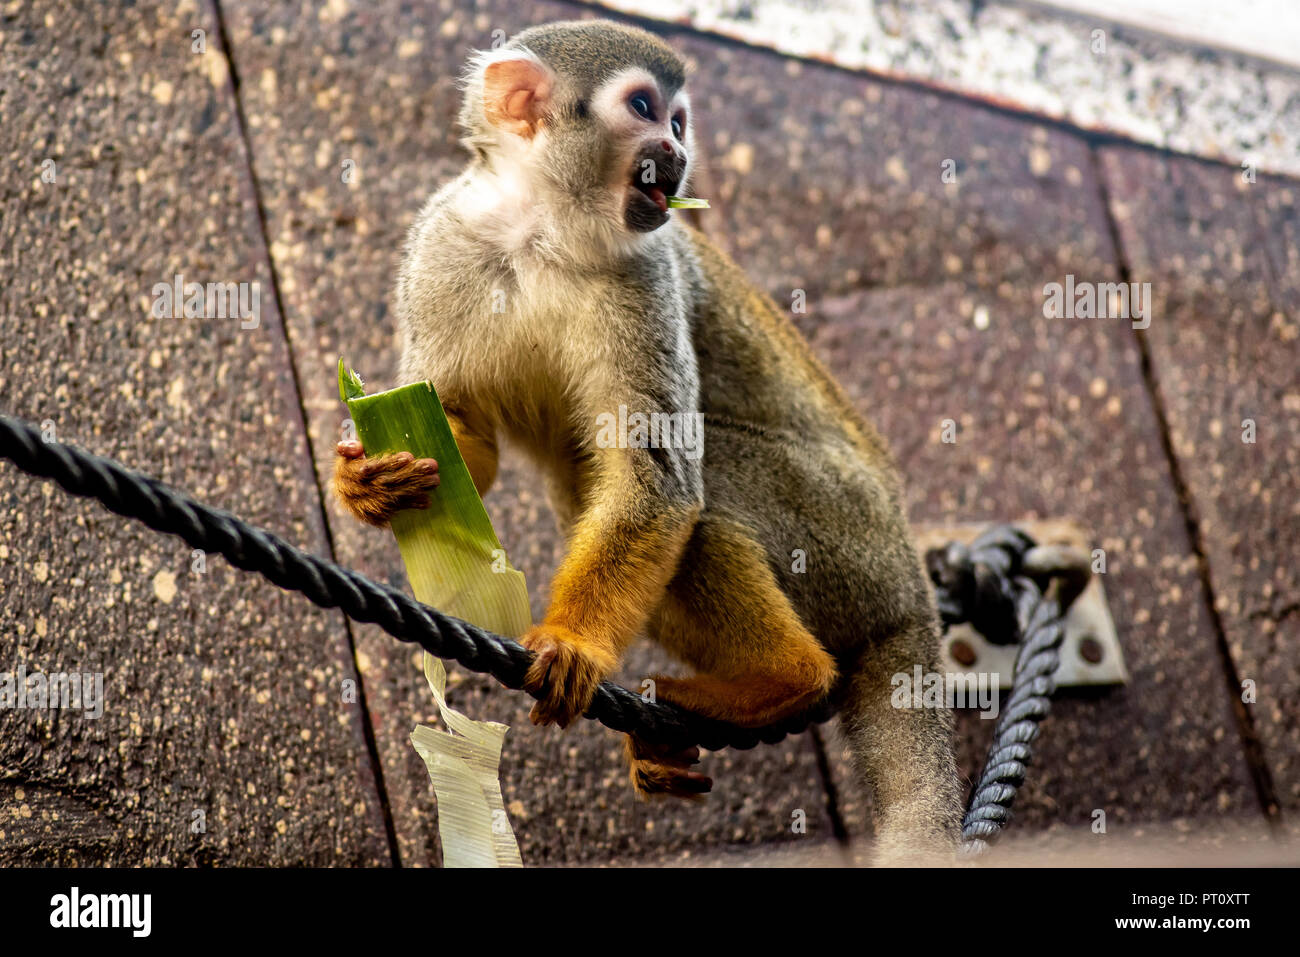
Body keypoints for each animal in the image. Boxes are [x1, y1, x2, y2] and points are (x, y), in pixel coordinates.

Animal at [335, 20, 967, 858]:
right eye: (644, 109)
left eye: (680, 122)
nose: (676, 153)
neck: (542, 228)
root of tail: (912, 582)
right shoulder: (444, 245)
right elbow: (460, 436)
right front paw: (368, 478)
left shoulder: (647, 275)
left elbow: (658, 478)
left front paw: (574, 644)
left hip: (847, 533)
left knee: (704, 480)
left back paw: (787, 678)